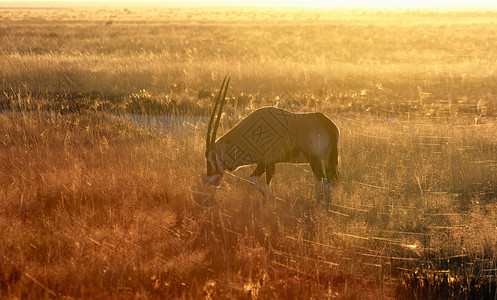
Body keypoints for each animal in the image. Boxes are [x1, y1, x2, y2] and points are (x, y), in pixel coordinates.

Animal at [203, 77, 340, 199]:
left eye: (212, 158)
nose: (209, 182)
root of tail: (327, 123)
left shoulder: (268, 162)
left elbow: (262, 184)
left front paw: (268, 198)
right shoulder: (267, 163)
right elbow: (254, 180)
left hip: (315, 160)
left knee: (323, 181)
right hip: (327, 159)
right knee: (330, 180)